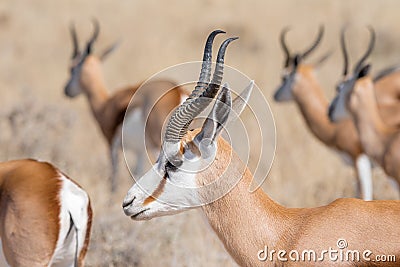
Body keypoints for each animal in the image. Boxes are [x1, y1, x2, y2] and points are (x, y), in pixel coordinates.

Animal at [63, 21, 186, 193]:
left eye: (72, 68)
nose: (66, 90)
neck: (106, 104)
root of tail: (178, 92)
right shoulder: (139, 151)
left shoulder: (111, 144)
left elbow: (113, 176)